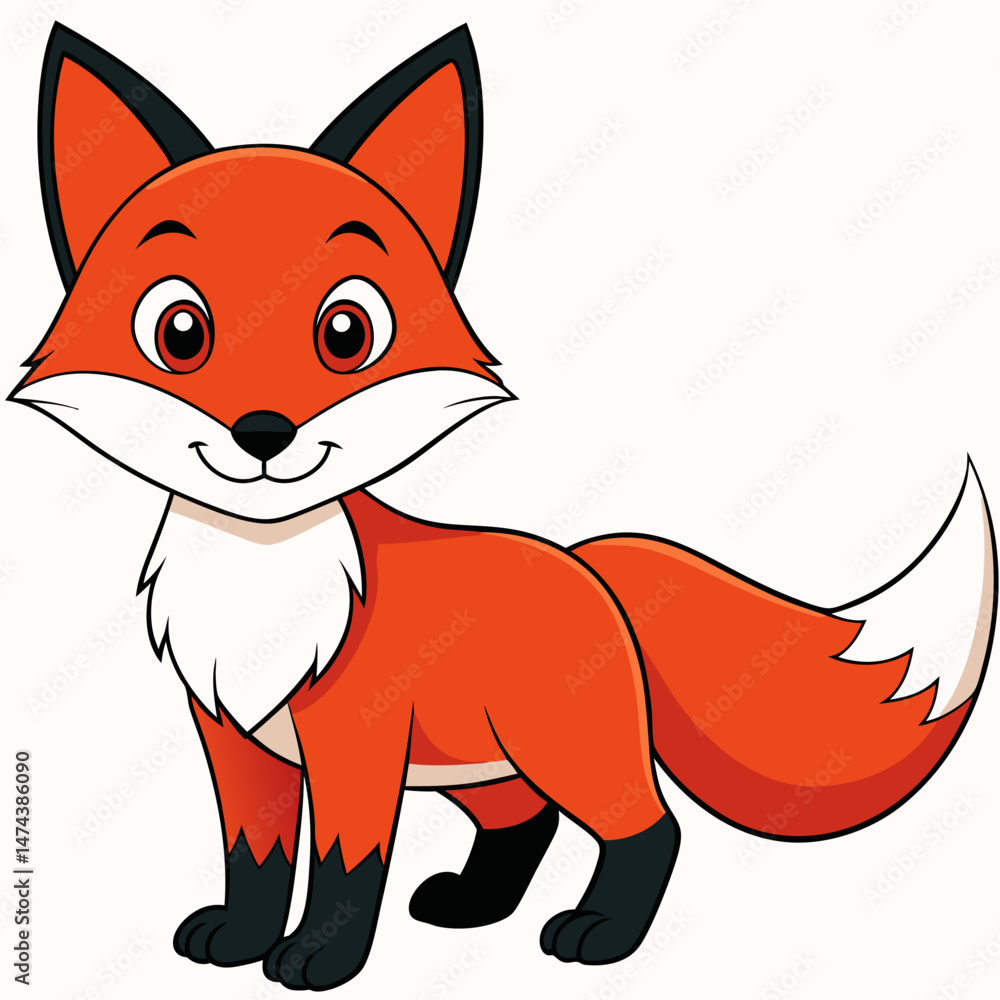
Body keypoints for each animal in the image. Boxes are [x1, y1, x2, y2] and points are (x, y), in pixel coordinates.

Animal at [10, 20, 998, 993]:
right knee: (525, 820)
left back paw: (602, 934)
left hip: (564, 749)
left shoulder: (355, 744)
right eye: (179, 332)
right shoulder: (236, 740)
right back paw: (474, 905)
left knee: (649, 826)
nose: (264, 434)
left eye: (347, 333)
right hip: (481, 762)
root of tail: (588, 563)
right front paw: (240, 938)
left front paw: (322, 959)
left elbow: (344, 863)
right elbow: (254, 857)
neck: (263, 580)